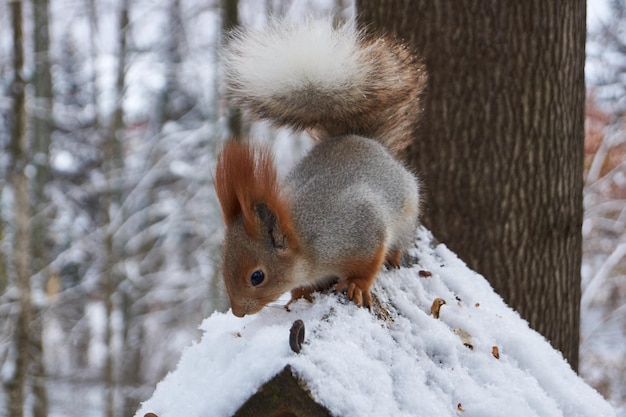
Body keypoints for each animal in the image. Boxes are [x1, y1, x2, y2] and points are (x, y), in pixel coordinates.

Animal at [213, 17, 424, 316]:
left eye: (257, 276)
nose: (239, 312)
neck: (306, 241)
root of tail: (365, 140)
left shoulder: (360, 228)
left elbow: (368, 263)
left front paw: (357, 285)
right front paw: (299, 295)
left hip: (406, 214)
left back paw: (394, 256)